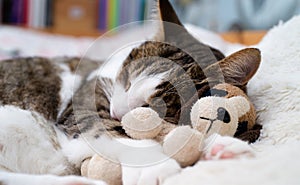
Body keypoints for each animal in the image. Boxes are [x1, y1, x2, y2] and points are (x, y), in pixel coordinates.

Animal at [0, 0, 260, 185]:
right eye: (125, 81)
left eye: (152, 107)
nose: (116, 112)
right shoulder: (82, 105)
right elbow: (113, 131)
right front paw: (155, 166)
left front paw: (221, 148)